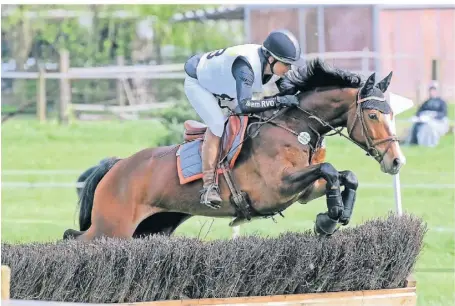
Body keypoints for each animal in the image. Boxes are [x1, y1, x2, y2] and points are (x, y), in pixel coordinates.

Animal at [64, 59, 406, 241]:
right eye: (373, 115)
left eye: (391, 113)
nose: (396, 162)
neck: (295, 128)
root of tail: (117, 166)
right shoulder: (276, 188)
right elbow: (330, 169)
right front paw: (332, 215)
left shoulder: (303, 190)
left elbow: (345, 175)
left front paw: (333, 217)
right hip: (112, 227)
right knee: (74, 238)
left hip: (153, 227)